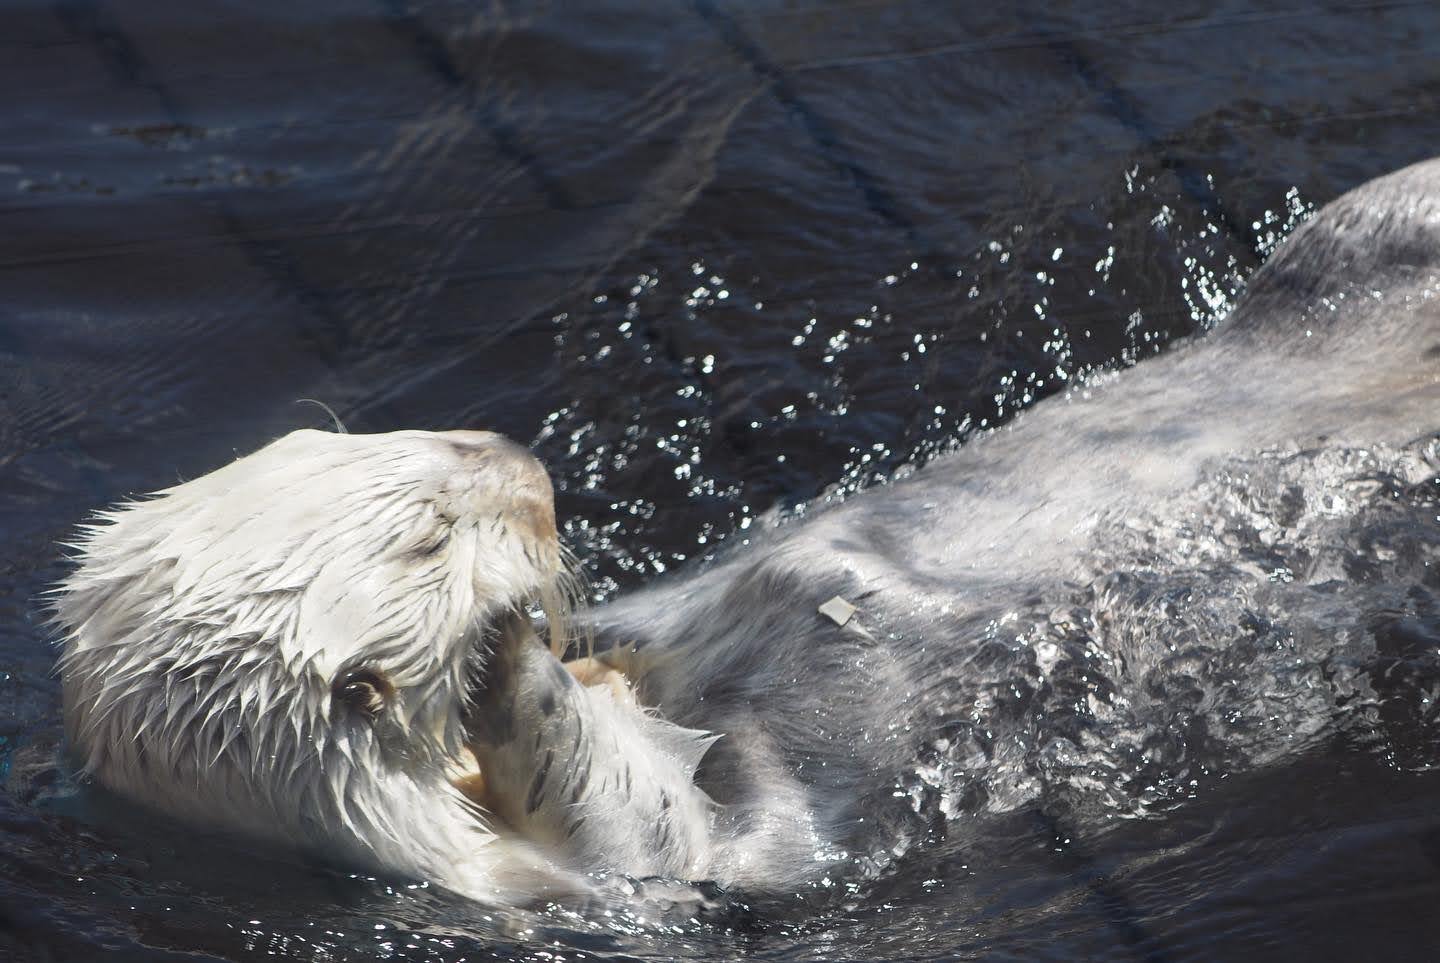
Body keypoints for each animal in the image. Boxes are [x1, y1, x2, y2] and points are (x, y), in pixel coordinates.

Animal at [55, 159, 1440, 906]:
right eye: (429, 540)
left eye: (377, 445)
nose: (527, 466)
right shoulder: (665, 877)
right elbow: (663, 816)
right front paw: (508, 659)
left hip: (1349, 246)